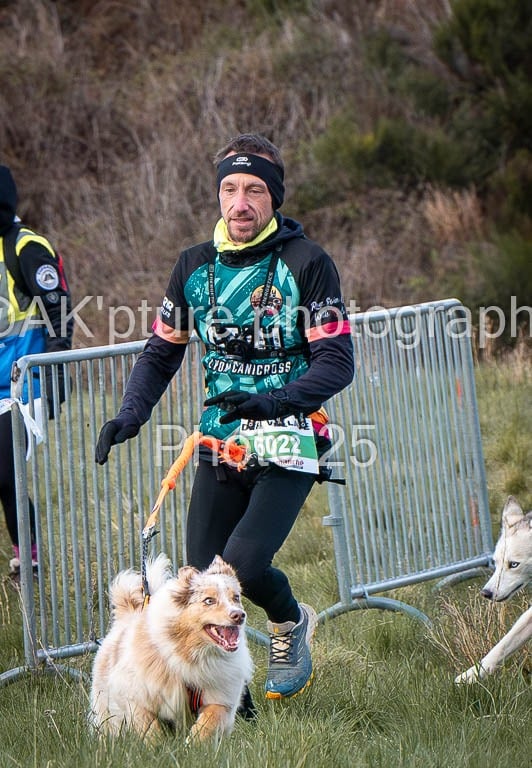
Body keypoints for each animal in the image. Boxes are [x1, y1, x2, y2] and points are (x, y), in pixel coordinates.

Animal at [89, 553, 253, 742]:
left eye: (236, 597)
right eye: (209, 601)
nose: (239, 615)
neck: (191, 654)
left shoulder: (221, 699)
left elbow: (208, 722)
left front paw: (192, 744)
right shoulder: (135, 696)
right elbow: (149, 727)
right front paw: (157, 746)